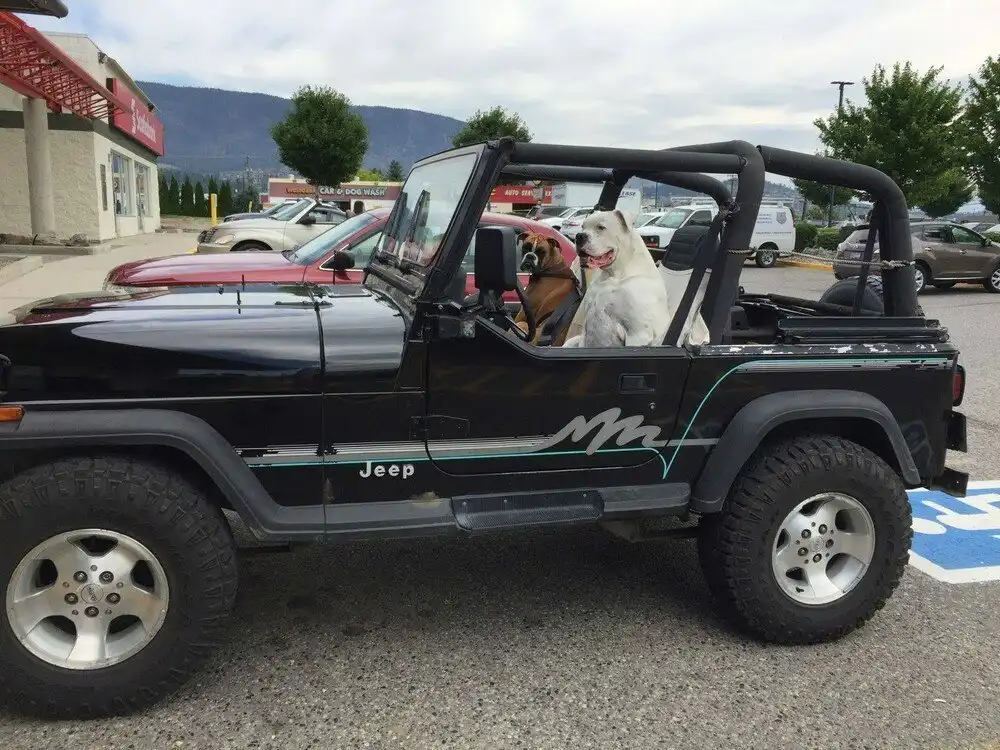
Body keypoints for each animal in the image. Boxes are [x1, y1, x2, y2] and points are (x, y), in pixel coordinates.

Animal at [561, 209, 671, 348]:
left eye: (601, 227)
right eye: (583, 227)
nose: (579, 236)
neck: (613, 275)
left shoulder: (638, 334)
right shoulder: (584, 331)